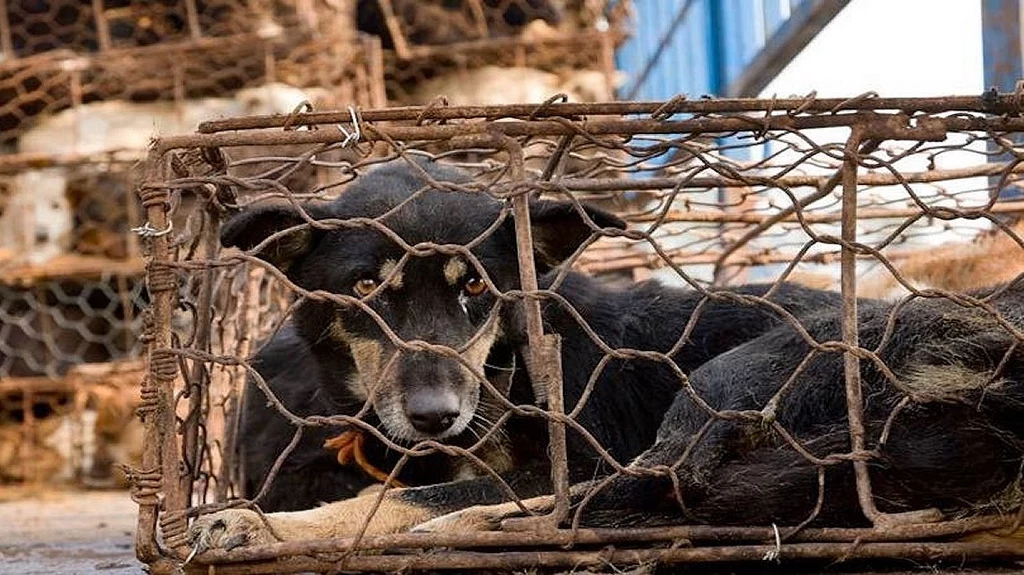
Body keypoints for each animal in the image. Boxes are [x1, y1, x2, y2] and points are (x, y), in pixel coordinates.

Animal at [186, 155, 839, 544]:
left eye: (476, 286)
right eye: (367, 286)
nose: (435, 416)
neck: (512, 372)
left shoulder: (579, 454)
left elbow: (415, 498)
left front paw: (267, 524)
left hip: (725, 384)